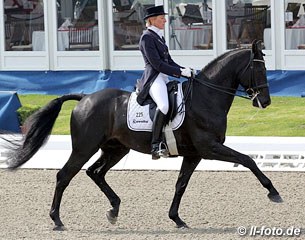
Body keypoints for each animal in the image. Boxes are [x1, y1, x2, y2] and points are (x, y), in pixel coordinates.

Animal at [2, 40, 282, 231]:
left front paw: (176, 219)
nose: (266, 101)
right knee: (64, 175)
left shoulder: (193, 154)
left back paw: (114, 209)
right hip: (84, 147)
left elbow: (181, 184)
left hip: (116, 148)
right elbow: (248, 160)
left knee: (95, 172)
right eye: (259, 70)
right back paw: (57, 220)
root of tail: (84, 97)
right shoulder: (209, 148)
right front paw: (273, 193)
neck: (206, 97)